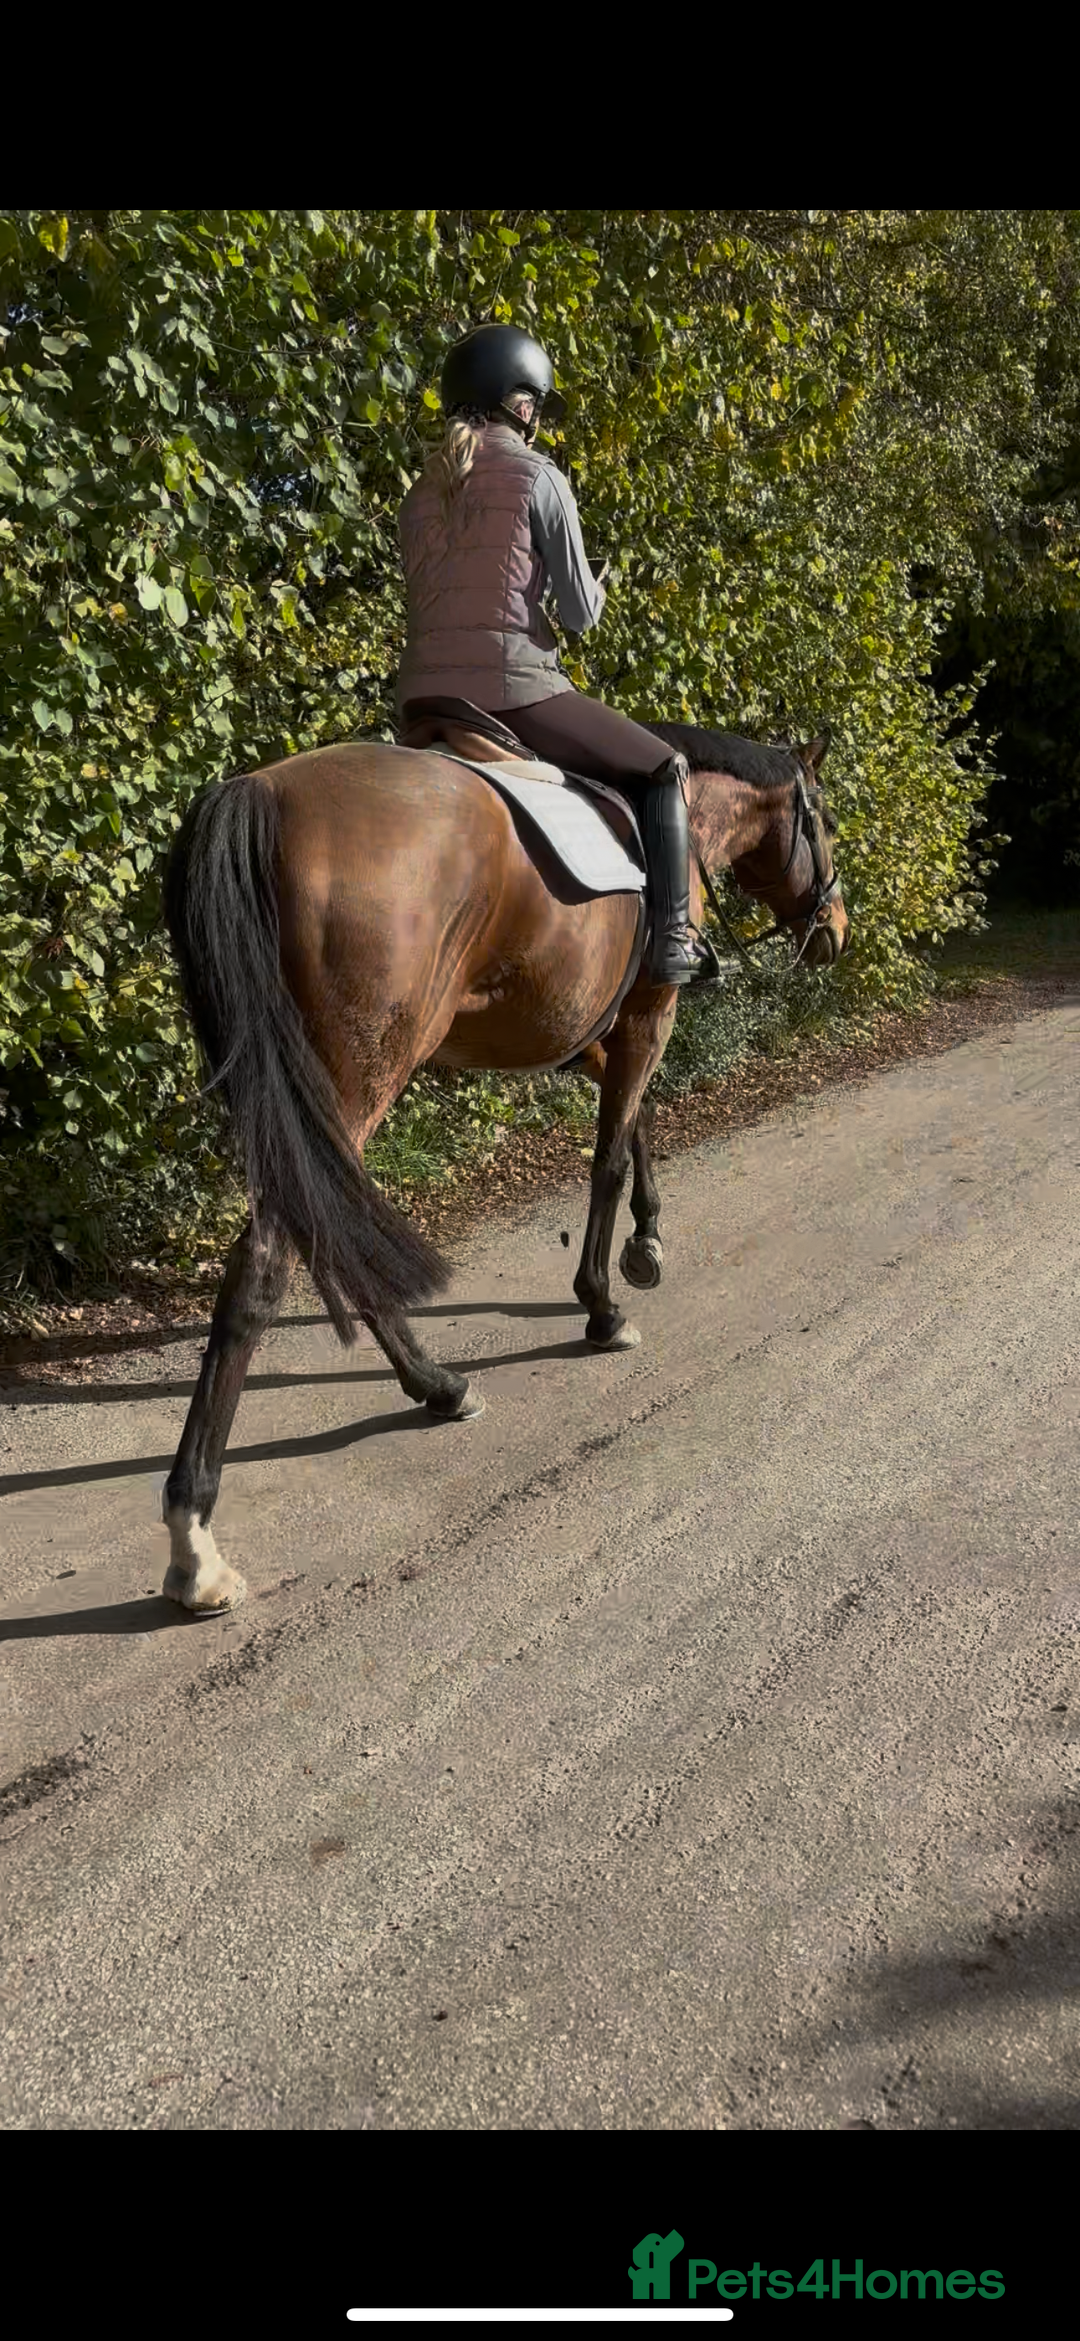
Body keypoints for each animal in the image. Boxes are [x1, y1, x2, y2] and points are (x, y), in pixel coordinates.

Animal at [160, 715, 849, 1614]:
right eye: (822, 819)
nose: (836, 930)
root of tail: (257, 793)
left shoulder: (593, 1028)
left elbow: (636, 1122)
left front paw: (648, 1242)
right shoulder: (648, 1012)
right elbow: (608, 1157)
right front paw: (603, 1305)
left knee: (334, 1236)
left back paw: (439, 1386)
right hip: (358, 1073)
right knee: (270, 1259)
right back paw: (196, 1543)